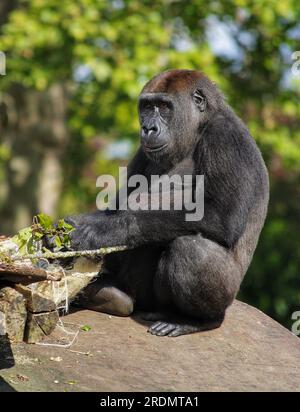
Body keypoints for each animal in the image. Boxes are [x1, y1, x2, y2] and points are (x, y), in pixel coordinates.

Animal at [66, 69, 270, 336]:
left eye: (164, 107)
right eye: (146, 106)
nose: (148, 128)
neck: (199, 126)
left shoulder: (227, 136)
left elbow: (220, 216)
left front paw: (102, 232)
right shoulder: (143, 151)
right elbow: (116, 206)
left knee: (191, 250)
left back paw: (196, 320)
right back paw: (105, 294)